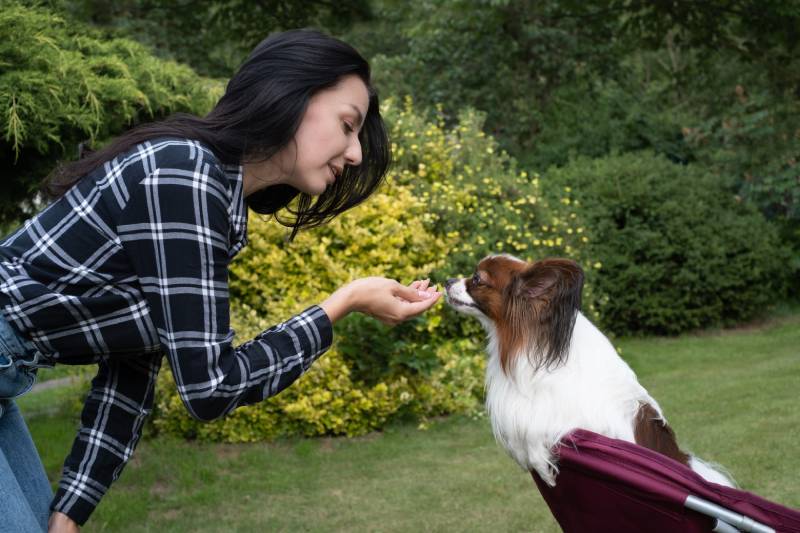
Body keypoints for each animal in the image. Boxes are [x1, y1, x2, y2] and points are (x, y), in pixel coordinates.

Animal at [446, 254, 736, 486]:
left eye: (476, 279)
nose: (448, 280)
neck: (536, 339)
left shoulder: (574, 420)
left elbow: (535, 432)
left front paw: (542, 467)